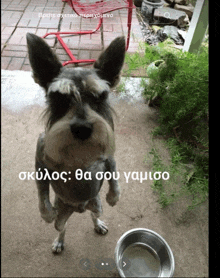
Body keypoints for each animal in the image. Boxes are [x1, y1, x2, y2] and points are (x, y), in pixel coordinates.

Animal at [26, 33, 125, 253]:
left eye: (100, 96)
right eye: (59, 98)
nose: (82, 129)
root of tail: (79, 208)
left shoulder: (108, 156)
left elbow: (114, 175)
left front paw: (114, 197)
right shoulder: (40, 160)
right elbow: (41, 191)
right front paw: (46, 213)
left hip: (96, 205)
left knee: (93, 215)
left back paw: (99, 224)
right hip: (63, 216)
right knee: (62, 227)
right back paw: (59, 241)